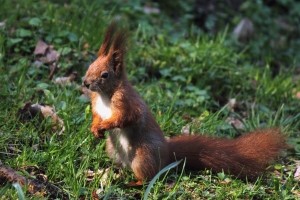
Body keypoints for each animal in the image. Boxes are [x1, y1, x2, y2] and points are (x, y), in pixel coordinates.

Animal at [82, 23, 288, 186]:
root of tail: (167, 155)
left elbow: (126, 117)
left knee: (148, 177)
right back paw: (116, 174)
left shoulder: (126, 101)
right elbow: (97, 115)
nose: (85, 83)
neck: (105, 95)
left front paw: (104, 125)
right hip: (113, 151)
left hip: (142, 156)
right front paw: (95, 127)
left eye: (105, 75)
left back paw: (133, 183)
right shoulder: (96, 104)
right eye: (89, 66)